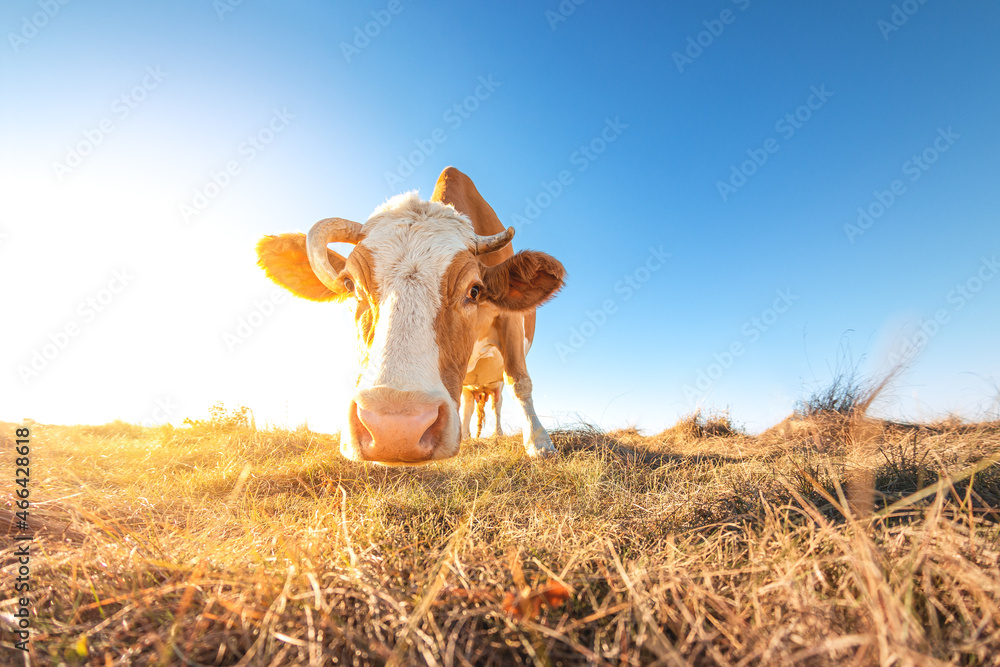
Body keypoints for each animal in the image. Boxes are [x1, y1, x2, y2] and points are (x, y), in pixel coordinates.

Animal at [254, 168, 568, 464]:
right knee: (468, 403)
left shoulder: (510, 322)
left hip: (492, 382)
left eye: (475, 290)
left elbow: (520, 381)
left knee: (496, 402)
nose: (395, 428)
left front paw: (539, 443)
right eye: (350, 284)